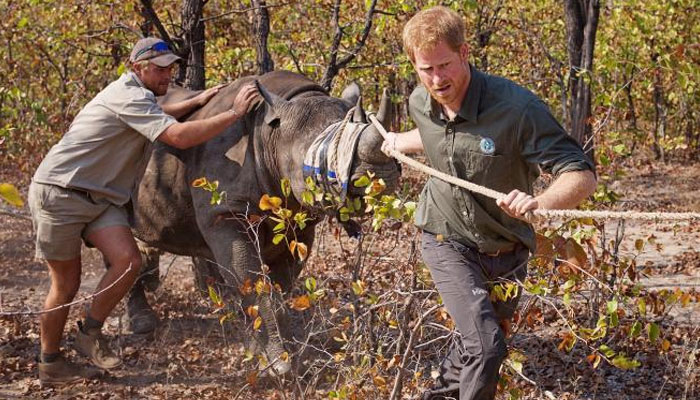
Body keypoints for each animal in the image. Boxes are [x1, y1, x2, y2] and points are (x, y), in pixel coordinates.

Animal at [120, 71, 400, 376]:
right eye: (319, 159)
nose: (380, 178)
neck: (272, 135)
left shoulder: (298, 221)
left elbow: (280, 285)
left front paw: (268, 353)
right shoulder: (226, 214)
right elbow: (252, 281)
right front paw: (278, 368)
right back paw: (142, 323)